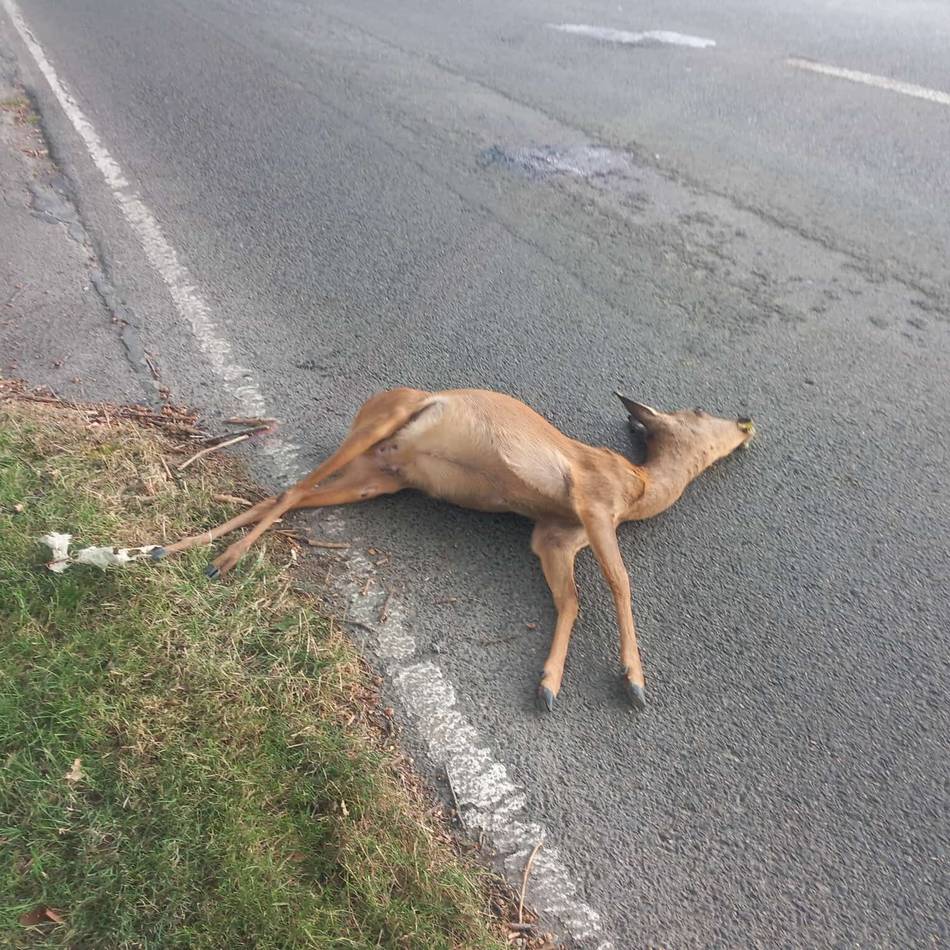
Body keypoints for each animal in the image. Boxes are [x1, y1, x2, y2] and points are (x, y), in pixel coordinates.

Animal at [153, 388, 755, 711]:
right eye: (700, 411)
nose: (747, 420)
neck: (638, 486)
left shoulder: (555, 536)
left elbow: (572, 600)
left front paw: (548, 687)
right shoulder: (592, 502)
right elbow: (619, 583)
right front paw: (634, 683)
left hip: (377, 478)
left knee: (285, 494)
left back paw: (171, 549)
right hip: (376, 431)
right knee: (293, 491)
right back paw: (221, 560)